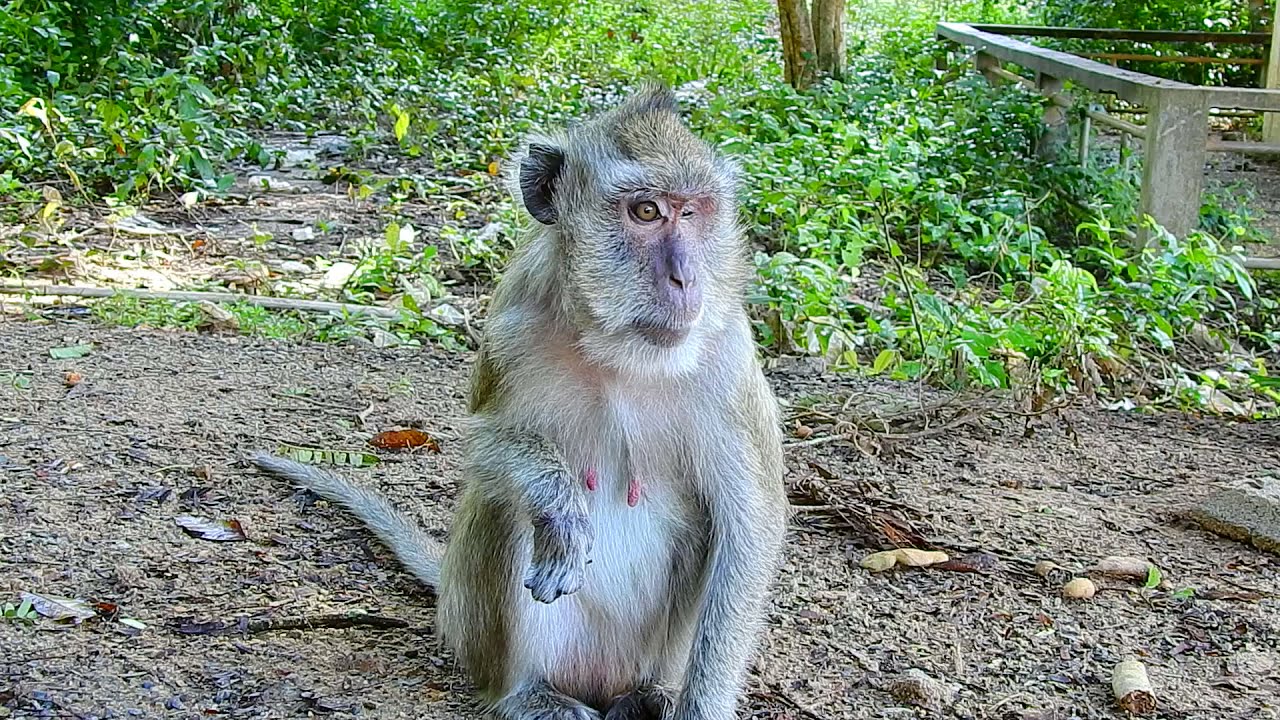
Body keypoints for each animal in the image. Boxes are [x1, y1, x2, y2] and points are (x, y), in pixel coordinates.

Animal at [249, 82, 788, 720]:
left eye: (694, 210)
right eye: (646, 212)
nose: (685, 278)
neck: (614, 348)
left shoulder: (727, 361)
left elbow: (749, 523)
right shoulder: (510, 326)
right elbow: (482, 444)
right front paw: (557, 501)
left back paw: (649, 695)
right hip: (476, 635)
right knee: (500, 508)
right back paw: (526, 693)